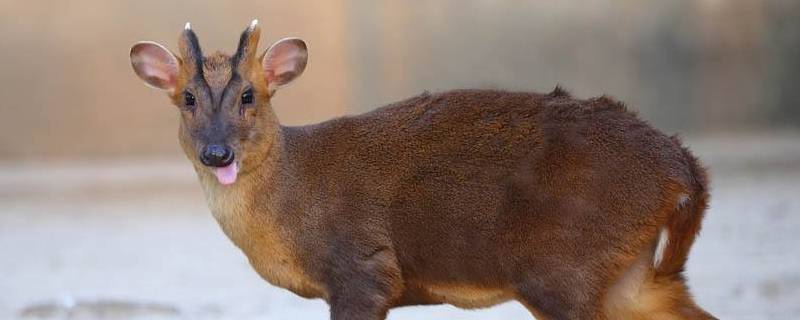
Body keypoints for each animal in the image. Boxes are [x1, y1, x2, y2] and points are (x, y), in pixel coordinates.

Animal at [128, 20, 716, 320]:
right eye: (186, 99)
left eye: (249, 95)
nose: (217, 154)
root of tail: (684, 170)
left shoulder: (363, 269)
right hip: (633, 276)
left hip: (565, 267)